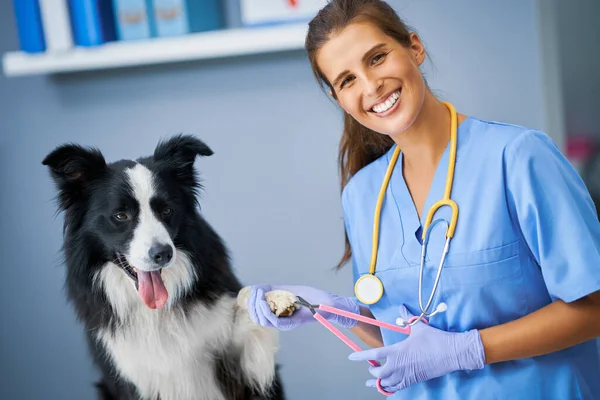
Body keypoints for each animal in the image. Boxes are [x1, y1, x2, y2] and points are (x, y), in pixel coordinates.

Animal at [41, 135, 296, 400]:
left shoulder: (239, 369)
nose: (163, 253)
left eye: (167, 210)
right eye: (121, 216)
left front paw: (268, 300)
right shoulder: (131, 374)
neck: (155, 312)